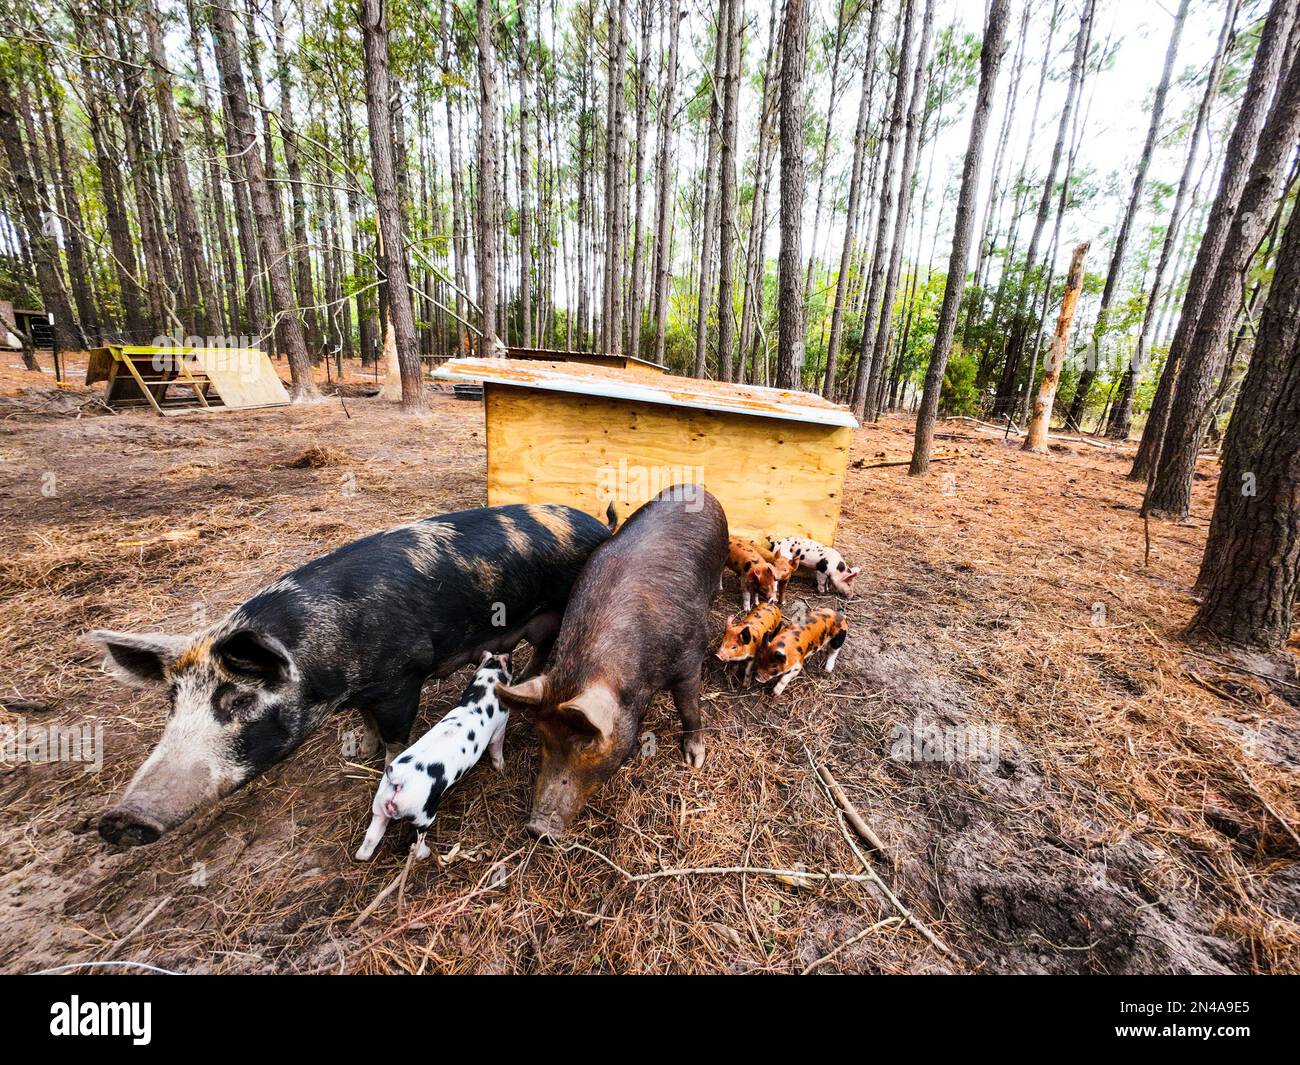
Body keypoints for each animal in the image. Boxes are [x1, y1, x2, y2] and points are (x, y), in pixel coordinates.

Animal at [356, 652, 512, 862]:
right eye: (509, 665)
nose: (507, 654)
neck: (481, 694)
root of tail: (399, 781)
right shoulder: (500, 726)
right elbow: (496, 747)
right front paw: (501, 768)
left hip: (379, 805)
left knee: (370, 839)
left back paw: (362, 855)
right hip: (422, 813)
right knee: (416, 839)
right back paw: (426, 854)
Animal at [495, 484, 728, 838]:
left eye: (586, 743)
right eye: (543, 737)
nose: (537, 829)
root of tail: (696, 488)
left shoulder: (689, 656)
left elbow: (689, 706)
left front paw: (694, 761)